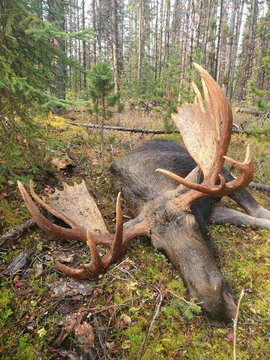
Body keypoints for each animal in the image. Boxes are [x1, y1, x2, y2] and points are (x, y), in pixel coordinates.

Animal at [17, 63, 270, 324]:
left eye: (195, 226)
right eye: (159, 247)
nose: (217, 306)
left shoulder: (222, 178)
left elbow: (256, 212)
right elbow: (247, 218)